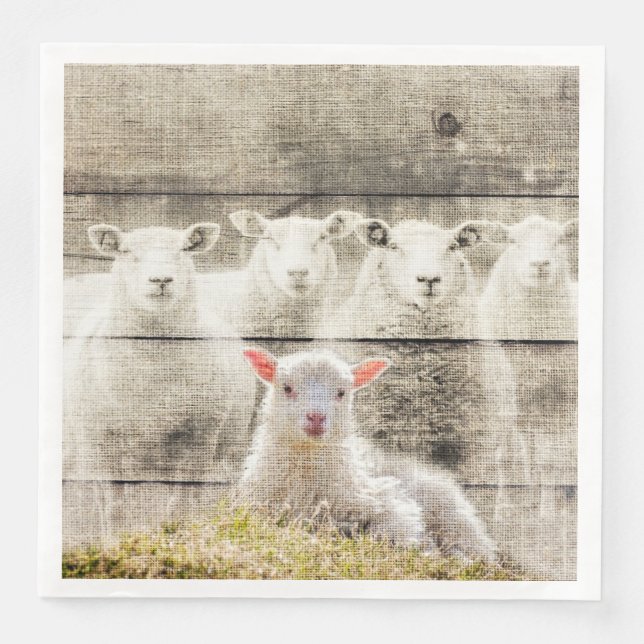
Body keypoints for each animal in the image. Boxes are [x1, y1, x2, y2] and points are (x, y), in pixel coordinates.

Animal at [238, 348, 497, 562]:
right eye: (287, 388)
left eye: (341, 392)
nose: (316, 418)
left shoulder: (392, 504)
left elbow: (391, 532)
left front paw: (425, 549)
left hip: (453, 518)